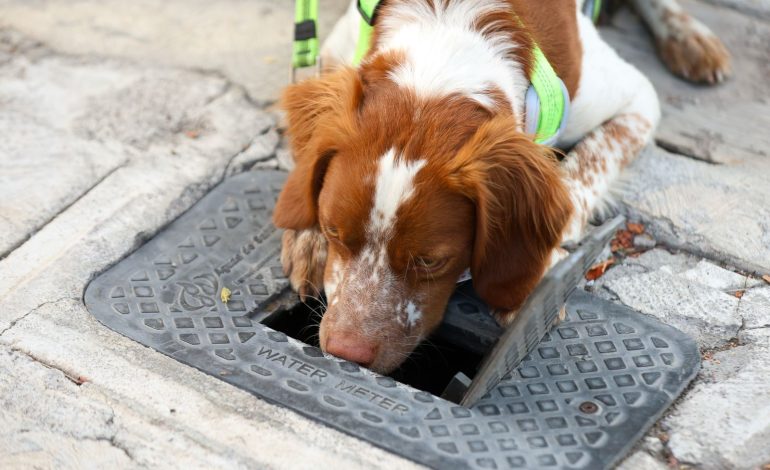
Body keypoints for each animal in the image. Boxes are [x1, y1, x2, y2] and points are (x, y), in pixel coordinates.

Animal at [272, 0, 728, 374]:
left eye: (430, 261)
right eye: (334, 231)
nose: (345, 352)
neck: (447, 42)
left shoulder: (637, 99)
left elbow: (579, 175)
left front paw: (537, 274)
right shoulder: (333, 54)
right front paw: (307, 238)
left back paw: (690, 39)